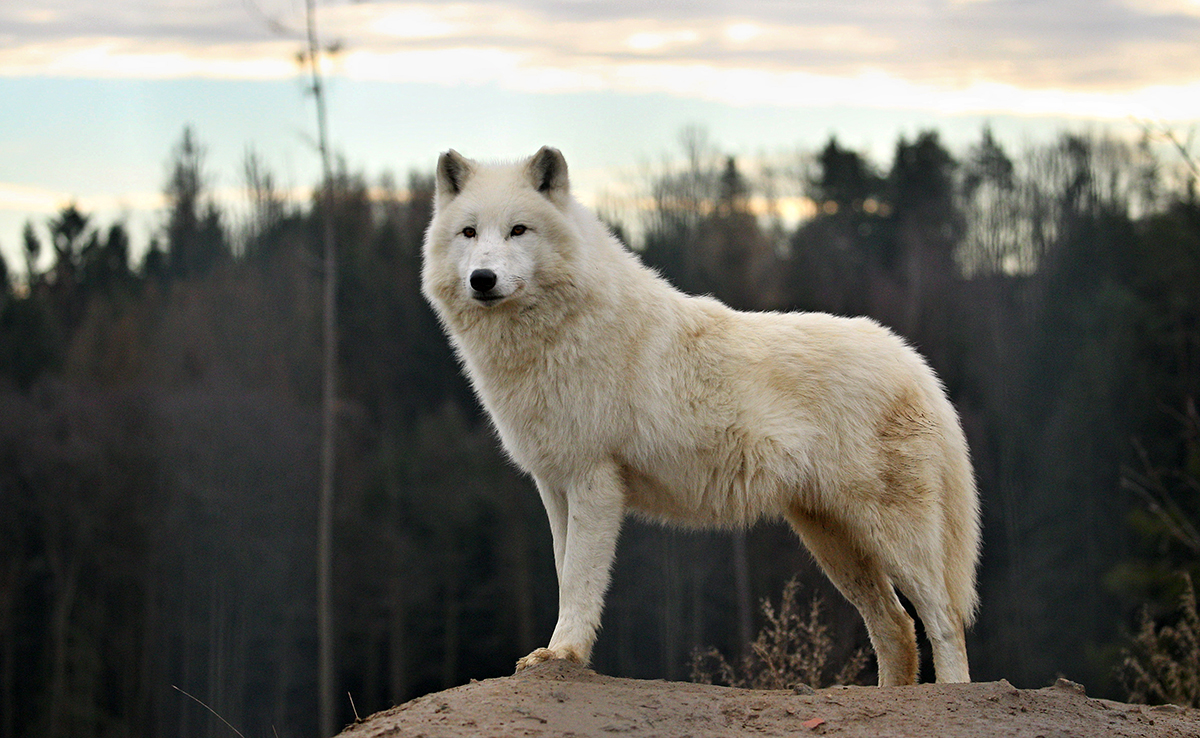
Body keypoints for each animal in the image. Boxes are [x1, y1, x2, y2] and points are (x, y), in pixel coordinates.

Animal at [420, 145, 974, 686]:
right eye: (469, 232)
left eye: (519, 230)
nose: (483, 279)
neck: (555, 335)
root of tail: (913, 361)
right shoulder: (554, 485)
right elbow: (564, 572)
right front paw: (556, 652)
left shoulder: (594, 480)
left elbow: (579, 579)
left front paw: (564, 654)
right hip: (833, 542)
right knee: (896, 627)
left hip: (892, 537)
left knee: (944, 621)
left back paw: (951, 691)